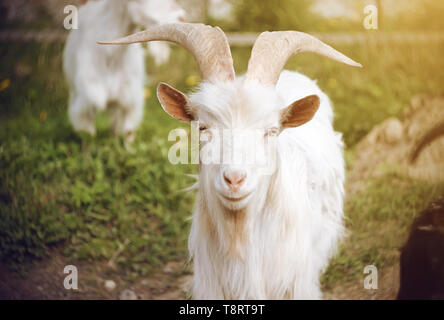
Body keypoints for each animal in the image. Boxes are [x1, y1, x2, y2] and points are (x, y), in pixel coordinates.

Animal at [63, 0, 185, 144]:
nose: (182, 18)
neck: (111, 58)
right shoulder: (86, 102)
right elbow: (88, 135)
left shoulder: (129, 99)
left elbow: (128, 132)